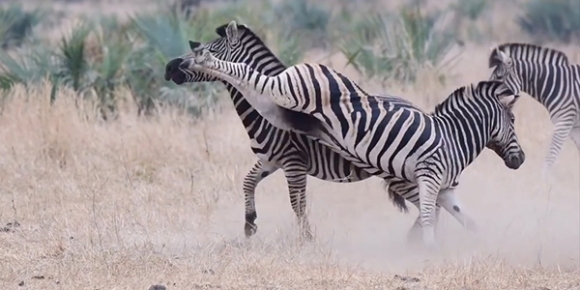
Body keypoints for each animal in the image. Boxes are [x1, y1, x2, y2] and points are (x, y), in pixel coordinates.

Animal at [490, 42, 580, 177]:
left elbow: (550, 157)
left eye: (499, 77)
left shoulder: (564, 121)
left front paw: (542, 180)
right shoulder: (574, 126)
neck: (557, 84)